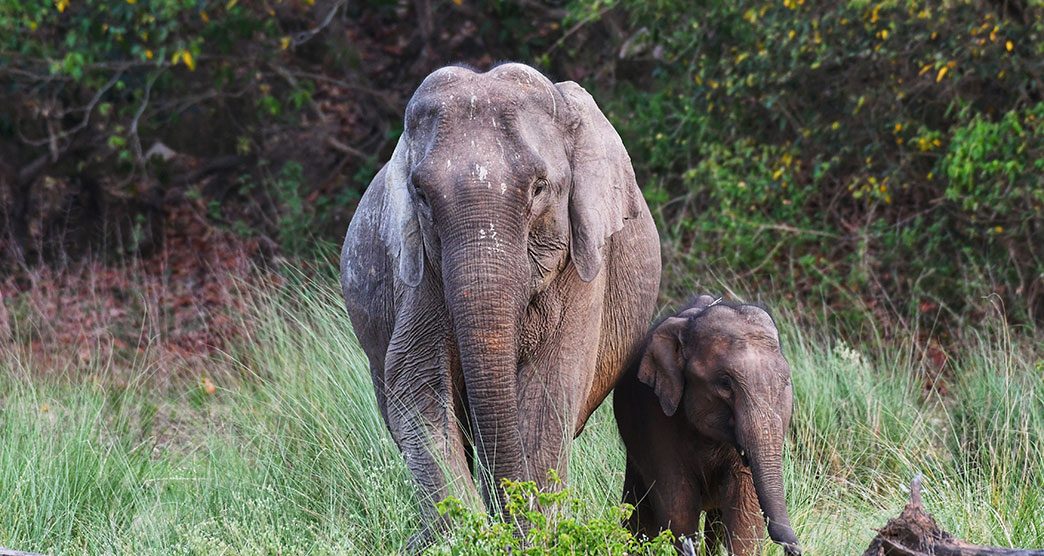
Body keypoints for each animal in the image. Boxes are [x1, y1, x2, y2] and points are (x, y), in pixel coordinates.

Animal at [338, 61, 655, 538]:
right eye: (422, 196)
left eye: (540, 188)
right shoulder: (420, 271)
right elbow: (416, 384)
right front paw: (470, 533)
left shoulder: (583, 263)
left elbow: (549, 392)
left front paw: (528, 533)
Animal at [613, 292, 801, 550]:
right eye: (725, 383)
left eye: (784, 382)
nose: (795, 548)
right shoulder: (654, 414)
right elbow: (677, 502)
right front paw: (687, 544)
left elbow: (745, 509)